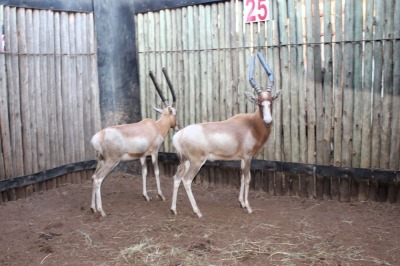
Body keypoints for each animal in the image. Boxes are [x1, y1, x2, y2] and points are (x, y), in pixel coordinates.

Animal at [91, 68, 179, 216]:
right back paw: (101, 211)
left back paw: (92, 208)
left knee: (93, 176)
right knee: (98, 179)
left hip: (100, 161)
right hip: (111, 162)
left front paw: (146, 196)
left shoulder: (142, 156)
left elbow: (144, 172)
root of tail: (98, 137)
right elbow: (156, 172)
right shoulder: (154, 153)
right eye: (175, 113)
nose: (178, 126)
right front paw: (161, 195)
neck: (156, 126)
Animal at [171, 53, 282, 217]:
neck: (251, 124)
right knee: (186, 180)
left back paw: (173, 209)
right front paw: (249, 207)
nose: (268, 121)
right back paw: (198, 212)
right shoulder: (248, 157)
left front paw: (241, 203)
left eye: (271, 101)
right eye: (259, 102)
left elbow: (241, 178)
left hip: (185, 161)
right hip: (197, 162)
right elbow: (247, 178)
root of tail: (179, 135)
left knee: (177, 177)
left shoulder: (242, 158)